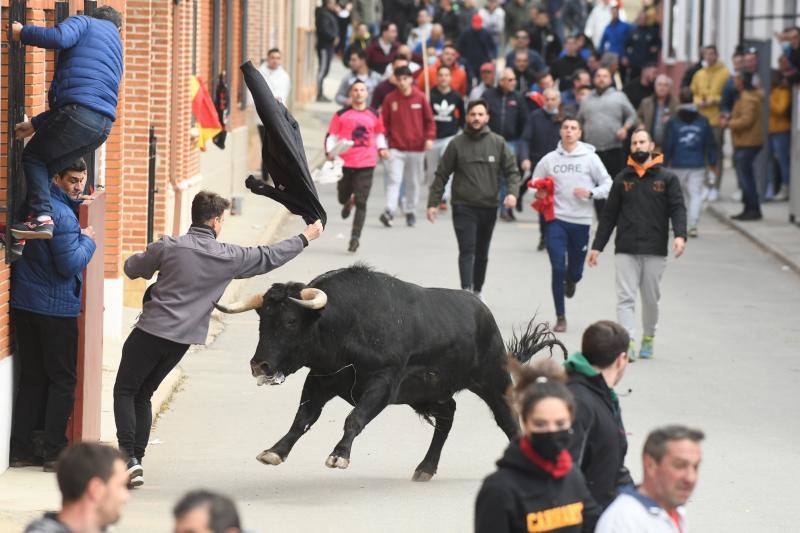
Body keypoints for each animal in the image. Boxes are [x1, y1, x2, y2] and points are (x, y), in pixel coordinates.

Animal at [212, 264, 564, 480]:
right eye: (262, 319)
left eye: (290, 321)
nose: (260, 365)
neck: (347, 323)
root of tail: (484, 313)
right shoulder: (320, 380)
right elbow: (303, 419)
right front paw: (275, 451)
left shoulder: (382, 383)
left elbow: (354, 419)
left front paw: (339, 455)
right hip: (430, 393)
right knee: (447, 417)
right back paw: (425, 468)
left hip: (493, 381)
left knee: (508, 421)